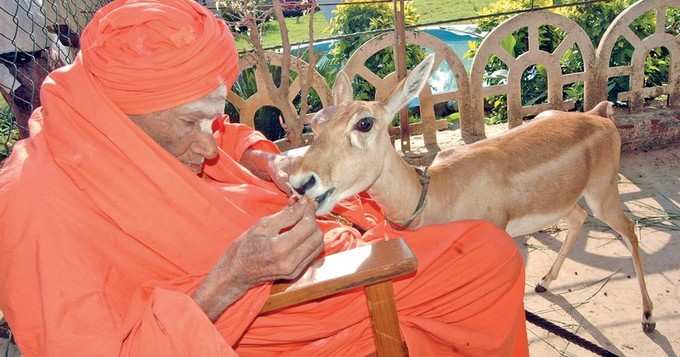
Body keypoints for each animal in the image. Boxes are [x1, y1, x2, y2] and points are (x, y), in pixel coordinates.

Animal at [290, 54, 656, 332]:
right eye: (316, 122)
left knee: (629, 230)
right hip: (566, 199)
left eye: (364, 123)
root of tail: (600, 115)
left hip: (602, 193)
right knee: (579, 219)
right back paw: (545, 282)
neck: (438, 194)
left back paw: (648, 317)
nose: (301, 180)